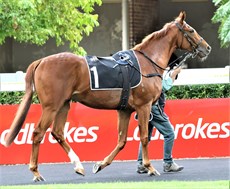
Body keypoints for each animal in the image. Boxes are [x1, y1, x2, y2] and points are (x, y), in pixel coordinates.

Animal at [3, 11, 211, 181]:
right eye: (191, 30)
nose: (207, 48)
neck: (146, 62)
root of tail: (41, 61)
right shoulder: (144, 106)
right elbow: (144, 137)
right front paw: (150, 167)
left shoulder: (125, 110)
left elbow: (121, 141)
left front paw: (100, 165)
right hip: (51, 106)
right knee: (38, 133)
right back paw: (36, 172)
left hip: (64, 104)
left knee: (58, 132)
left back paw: (78, 166)